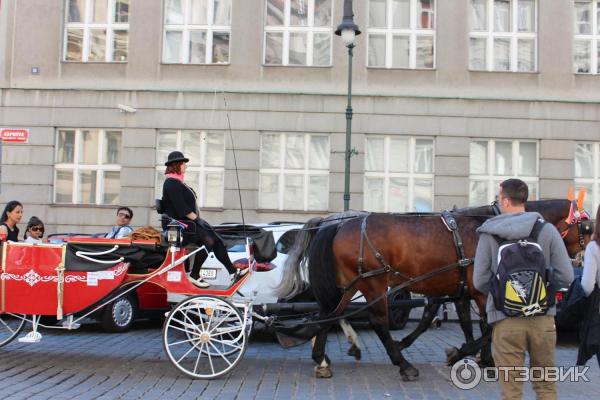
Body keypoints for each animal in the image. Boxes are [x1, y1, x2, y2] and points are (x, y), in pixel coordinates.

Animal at [284, 200, 592, 382]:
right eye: (587, 226)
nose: (581, 260)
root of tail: (340, 224)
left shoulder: (461, 291)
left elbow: (470, 324)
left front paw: (484, 358)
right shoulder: (478, 290)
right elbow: (486, 326)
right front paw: (462, 354)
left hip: (350, 284)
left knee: (329, 314)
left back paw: (322, 359)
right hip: (373, 283)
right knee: (377, 322)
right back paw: (403, 364)